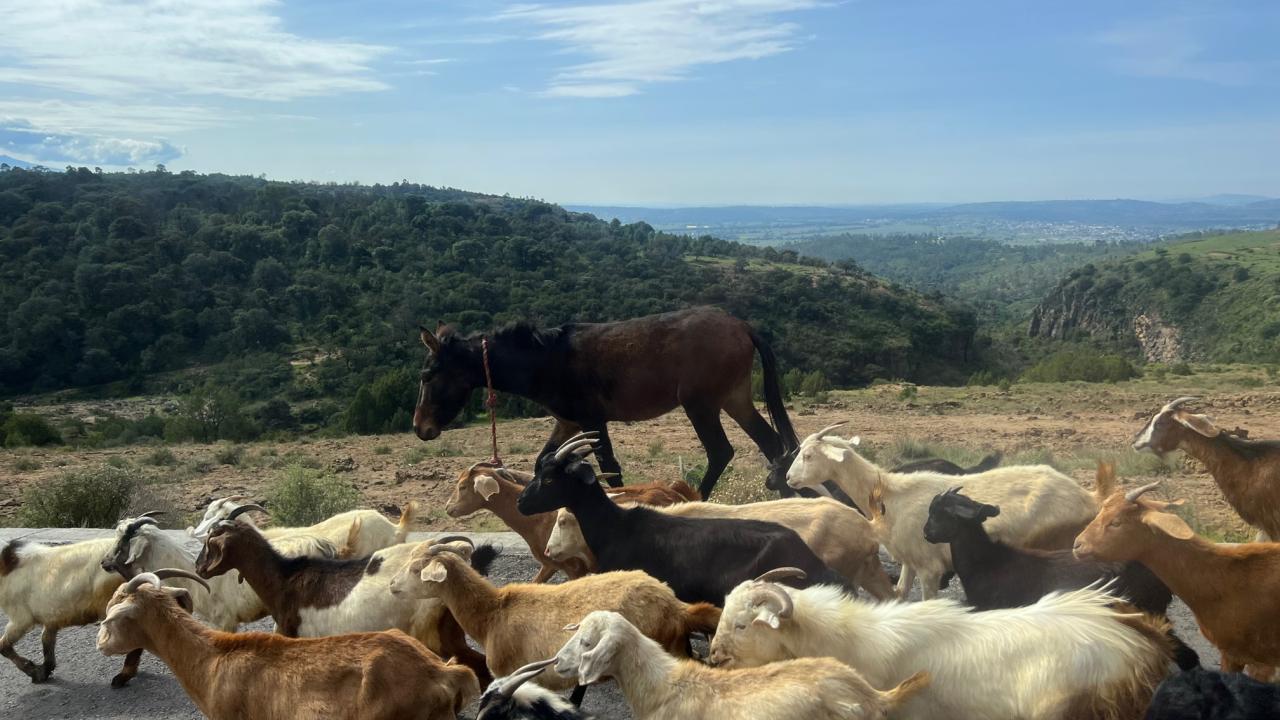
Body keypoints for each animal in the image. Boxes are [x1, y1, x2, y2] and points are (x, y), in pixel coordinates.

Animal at [0, 534, 143, 686]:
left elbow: (3, 646)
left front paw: (34, 672)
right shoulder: (51, 617)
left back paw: (122, 677)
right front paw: (44, 671)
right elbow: (46, 640)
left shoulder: (21, 618)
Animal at [787, 422, 1100, 598]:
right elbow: (900, 594)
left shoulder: (930, 567)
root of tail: (1088, 497)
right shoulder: (909, 561)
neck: (890, 494)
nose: (789, 478)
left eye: (809, 455)